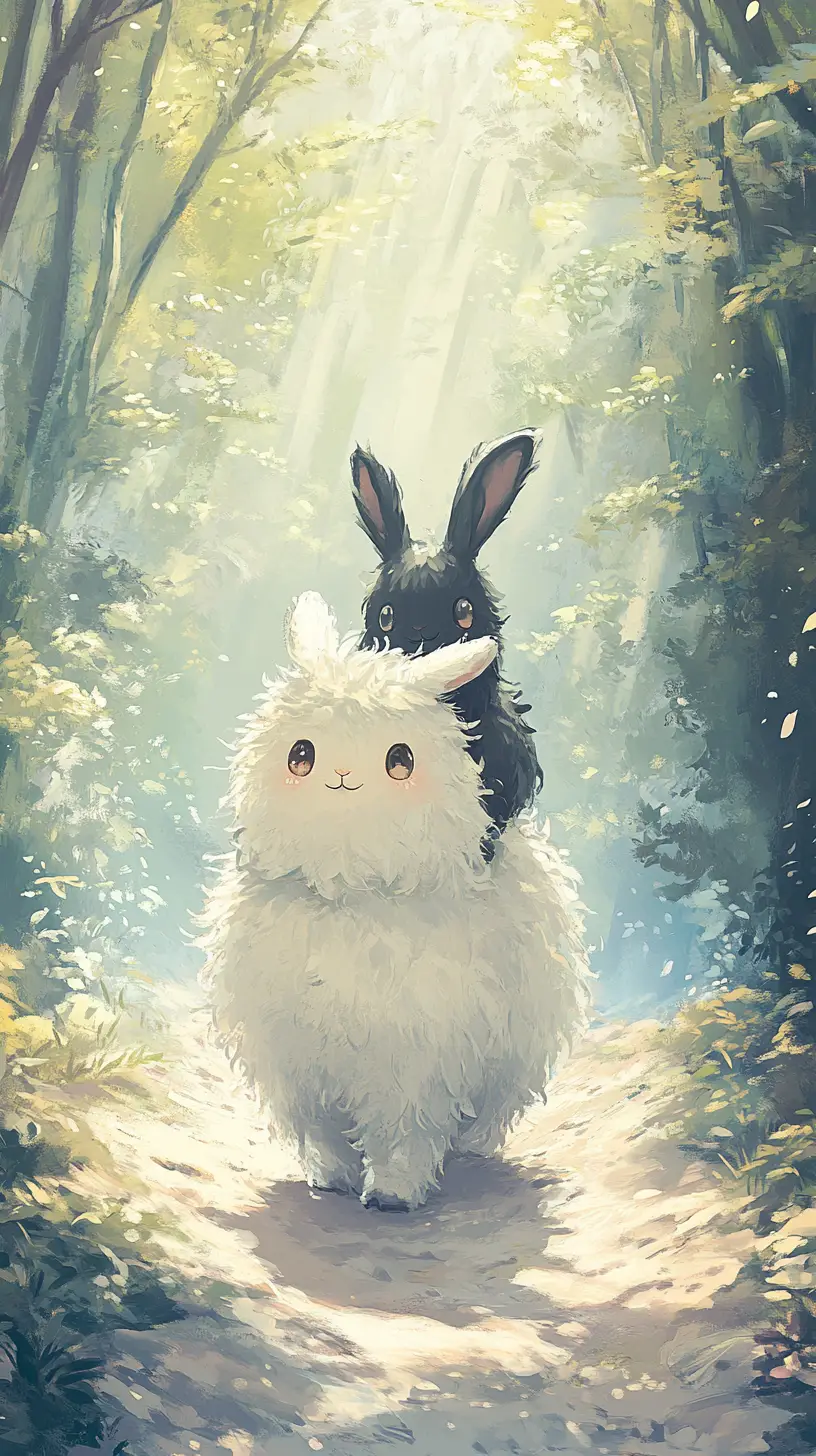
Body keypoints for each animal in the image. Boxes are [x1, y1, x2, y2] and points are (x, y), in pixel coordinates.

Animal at [199, 592, 590, 1213]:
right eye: (300, 755)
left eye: (400, 761)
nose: (342, 775)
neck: (352, 889)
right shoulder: (299, 1062)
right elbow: (323, 1131)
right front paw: (330, 1179)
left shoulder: (415, 1064)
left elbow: (404, 1132)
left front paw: (393, 1195)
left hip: (519, 1046)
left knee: (496, 1106)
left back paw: (472, 1149)